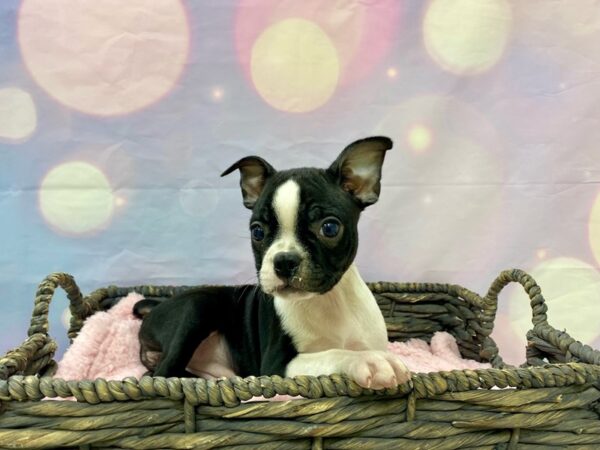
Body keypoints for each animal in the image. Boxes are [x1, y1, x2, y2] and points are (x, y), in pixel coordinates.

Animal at [134, 137, 410, 390]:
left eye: (330, 228)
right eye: (257, 232)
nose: (284, 260)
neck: (328, 301)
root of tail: (156, 307)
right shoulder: (277, 365)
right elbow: (332, 353)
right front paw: (368, 361)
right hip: (197, 307)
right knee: (161, 374)